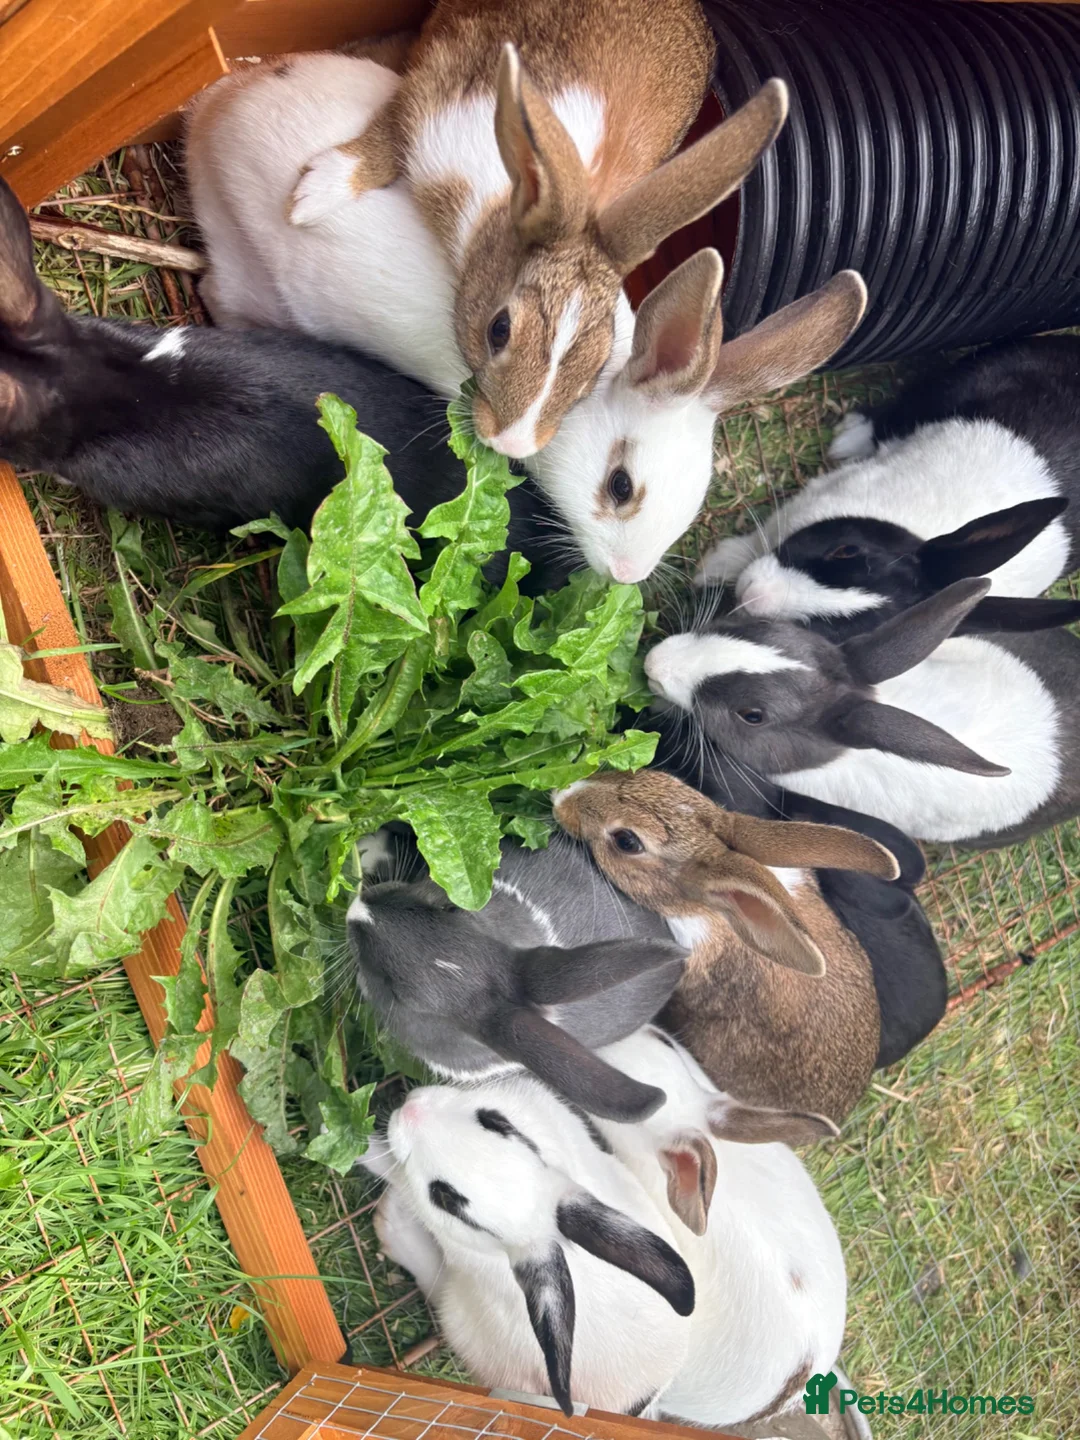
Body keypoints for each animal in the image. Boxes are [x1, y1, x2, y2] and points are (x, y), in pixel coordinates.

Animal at [286, 0, 787, 459]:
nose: (512, 443)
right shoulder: (430, 96)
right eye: (499, 329)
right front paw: (313, 195)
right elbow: (389, 135)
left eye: (600, 362)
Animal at [361, 1071, 696, 1416]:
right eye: (495, 1122)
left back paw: (391, 1224)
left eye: (445, 1199)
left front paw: (354, 1141)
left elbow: (386, 1164)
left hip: (460, 1319)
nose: (411, 1110)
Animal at [697, 336, 1080, 640]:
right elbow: (756, 540)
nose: (753, 594)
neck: (913, 530)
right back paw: (847, 438)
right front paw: (712, 567)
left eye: (840, 630)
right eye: (846, 550)